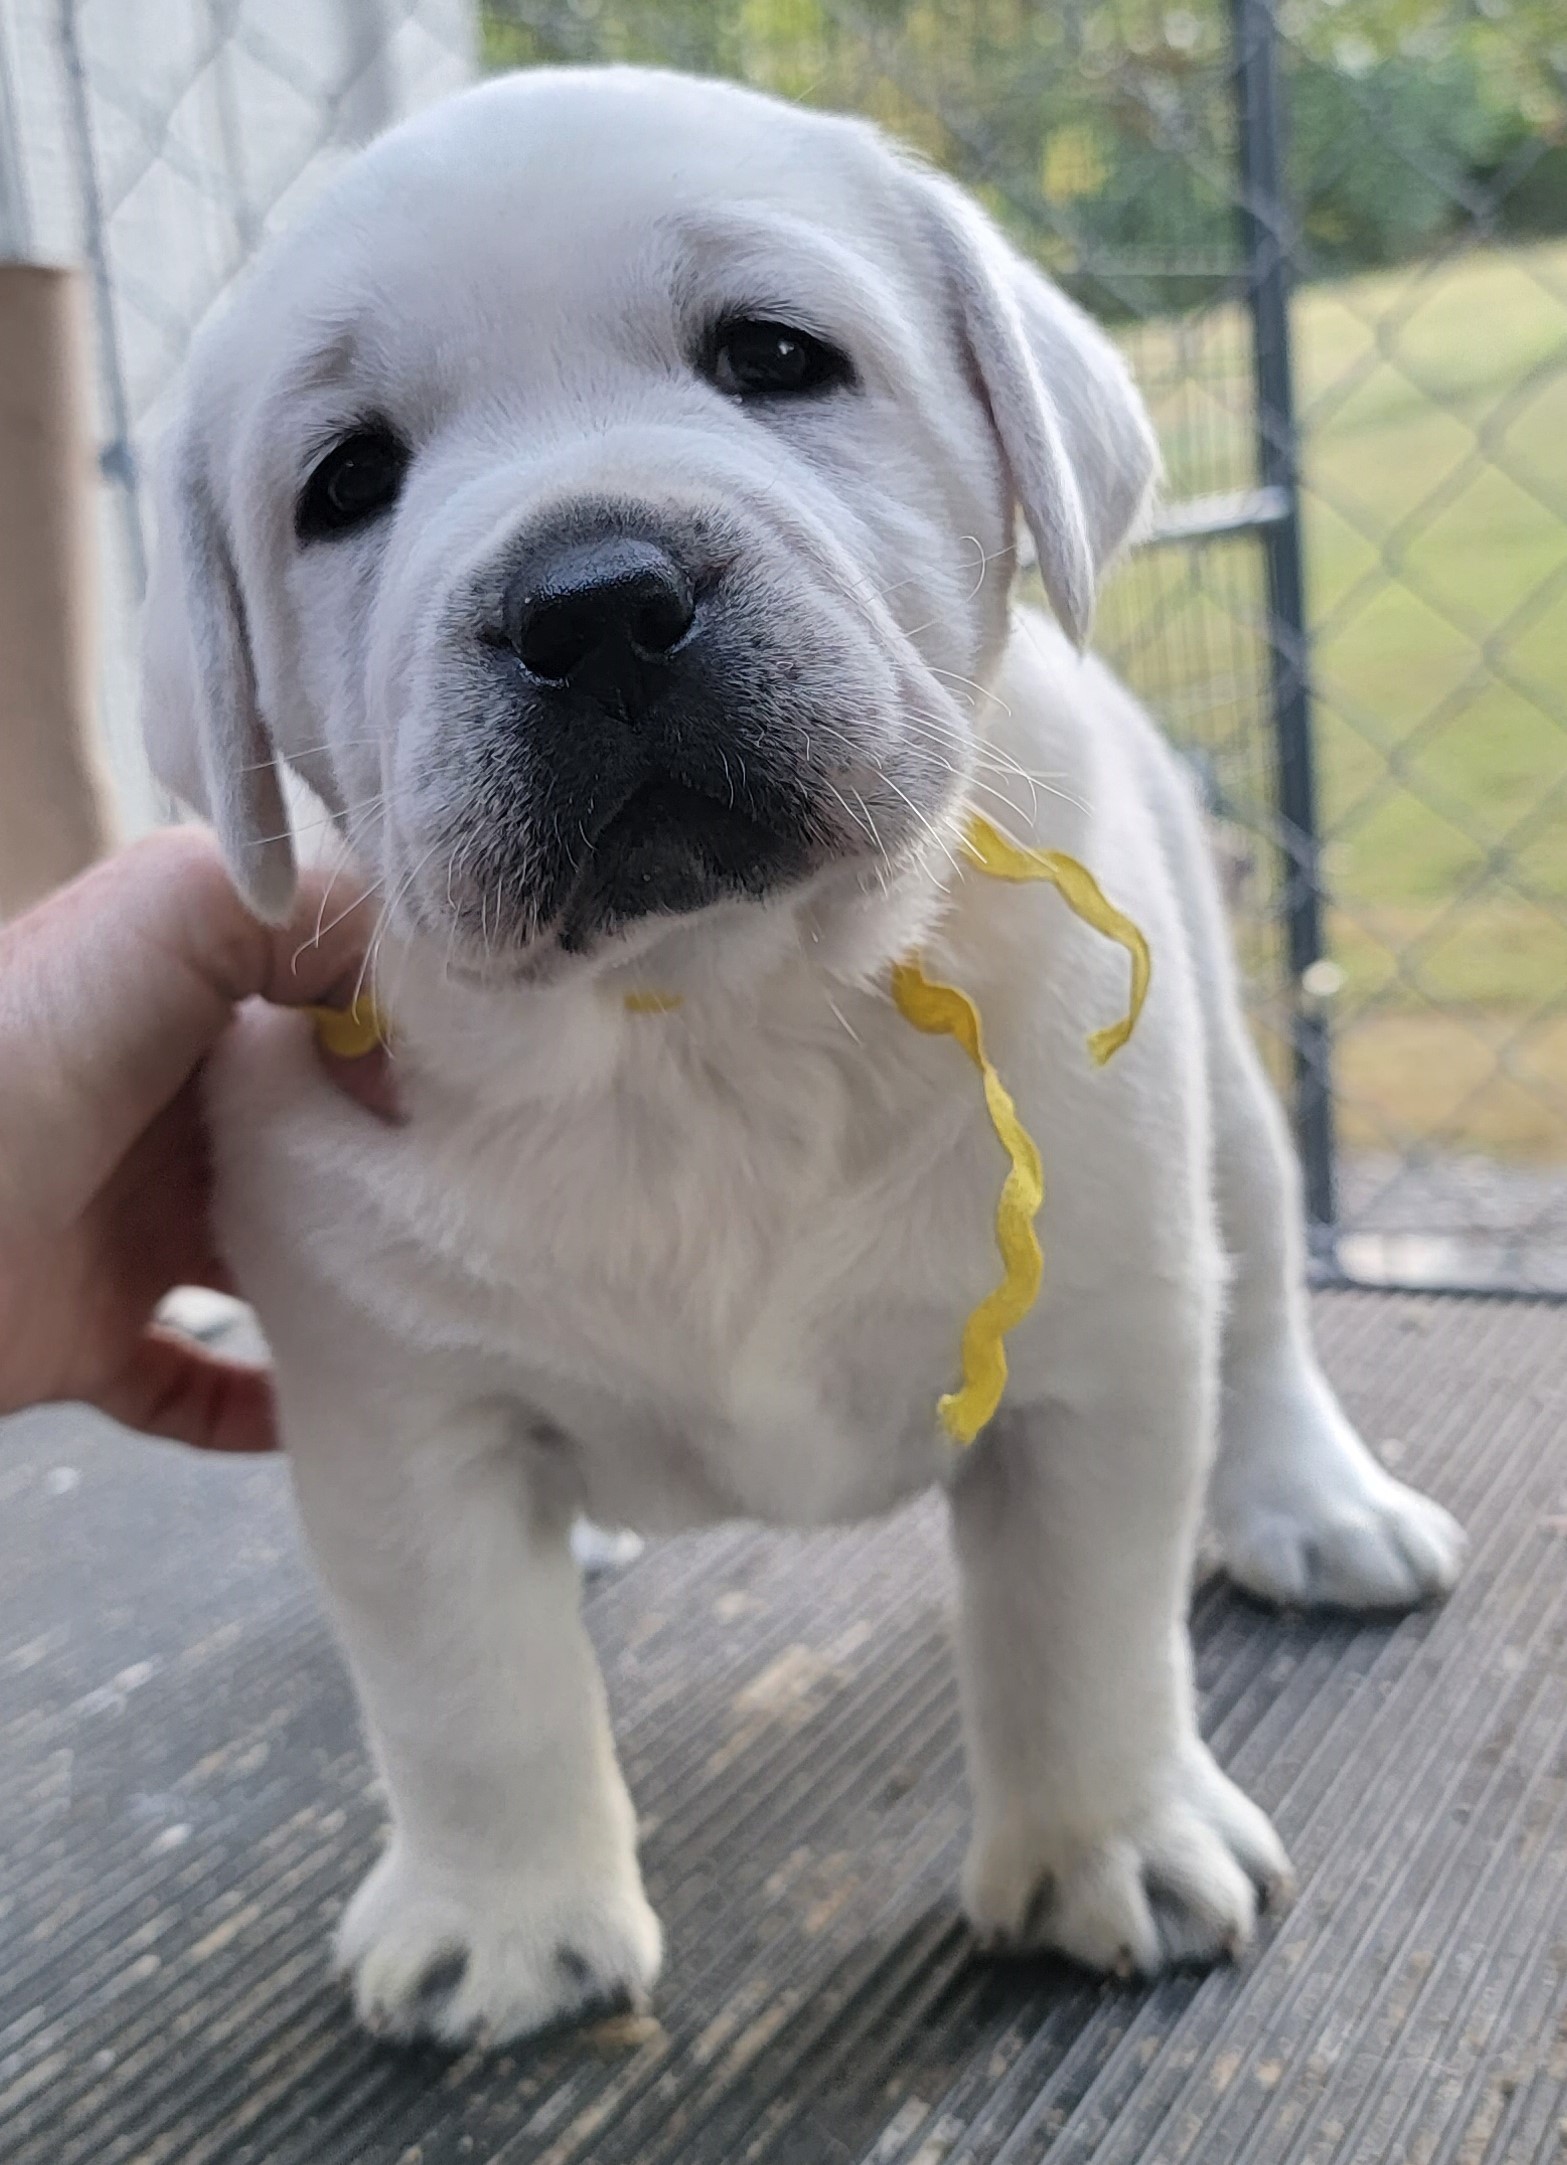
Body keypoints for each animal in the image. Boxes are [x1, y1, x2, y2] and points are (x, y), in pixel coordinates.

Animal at [137, 67, 1471, 2043]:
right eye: (345, 481)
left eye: (772, 355)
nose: (592, 600)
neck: (712, 1013)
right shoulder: (394, 1422)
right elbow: (466, 1694)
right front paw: (500, 1921)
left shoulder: (1090, 1352)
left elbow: (1080, 1631)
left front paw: (1107, 1849)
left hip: (1222, 1108)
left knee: (1265, 1323)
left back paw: (1316, 1505)